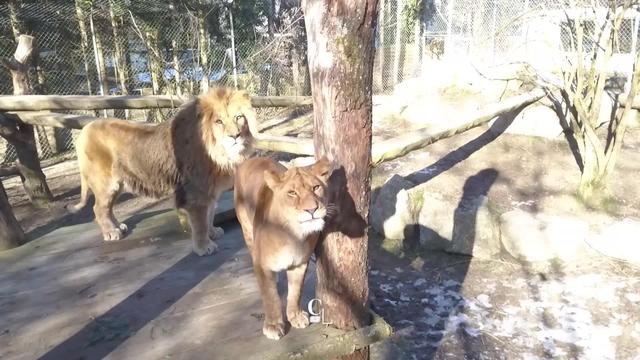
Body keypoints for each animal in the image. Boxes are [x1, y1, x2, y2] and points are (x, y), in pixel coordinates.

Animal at [67, 87, 252, 256]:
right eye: (219, 121)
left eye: (238, 117)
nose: (235, 136)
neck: (219, 153)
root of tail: (85, 129)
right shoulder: (195, 192)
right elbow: (200, 222)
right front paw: (204, 247)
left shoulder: (209, 190)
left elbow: (210, 214)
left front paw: (213, 233)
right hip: (105, 184)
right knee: (98, 209)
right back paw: (111, 232)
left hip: (118, 184)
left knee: (108, 208)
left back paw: (118, 226)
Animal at [235, 156, 336, 338]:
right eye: (292, 193)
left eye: (316, 187)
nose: (312, 209)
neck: (293, 234)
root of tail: (252, 158)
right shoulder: (262, 265)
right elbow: (270, 296)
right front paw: (274, 325)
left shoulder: (300, 263)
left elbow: (295, 292)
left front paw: (295, 316)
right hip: (247, 229)